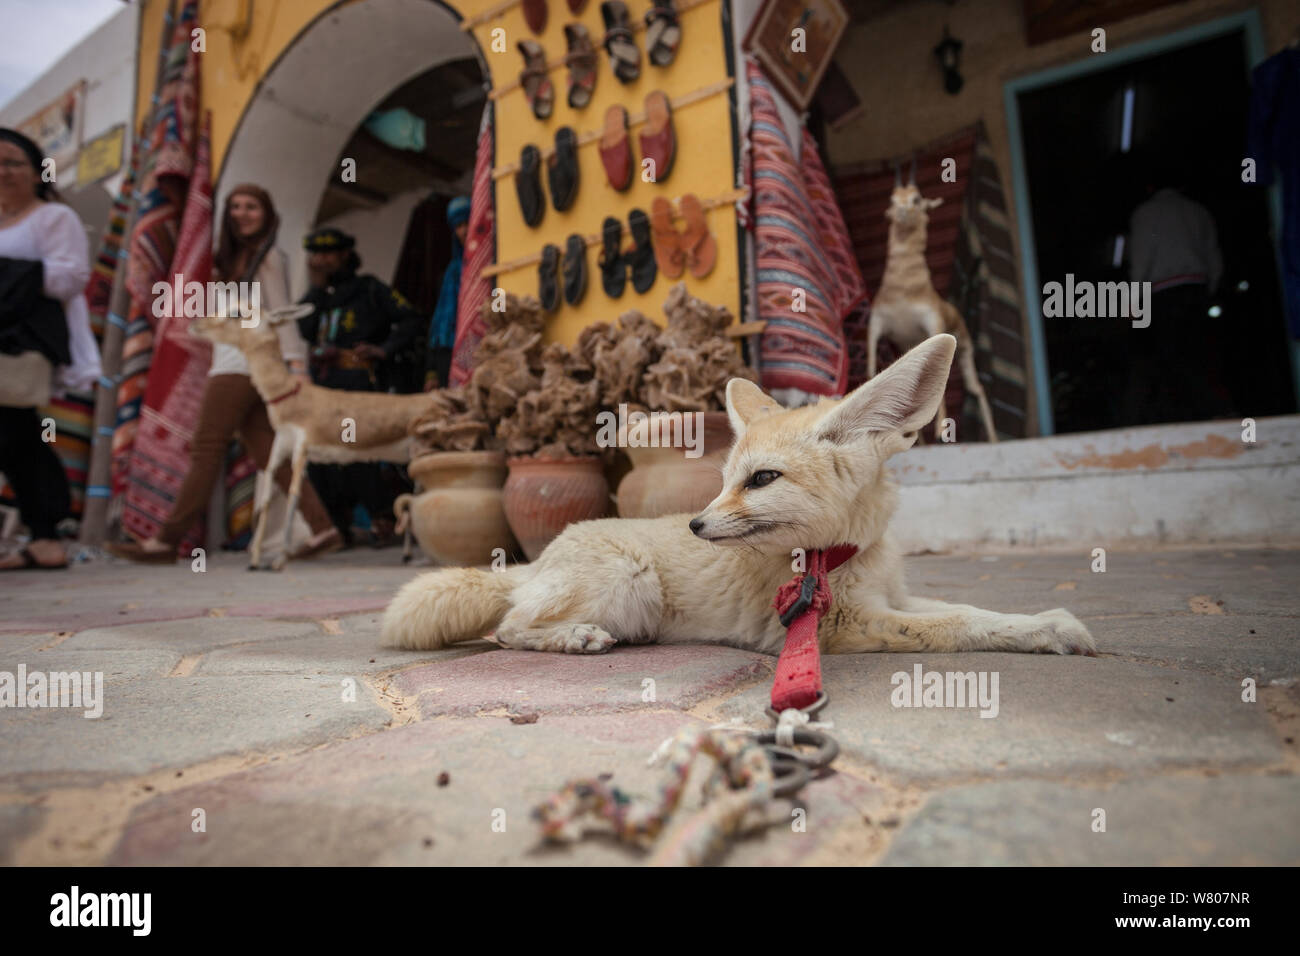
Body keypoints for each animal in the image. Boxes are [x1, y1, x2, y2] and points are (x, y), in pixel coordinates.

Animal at [191, 308, 431, 567]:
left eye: (238, 312)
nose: (197, 324)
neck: (294, 399)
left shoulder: (302, 450)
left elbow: (294, 494)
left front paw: (279, 560)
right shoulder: (278, 450)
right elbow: (265, 500)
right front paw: (254, 561)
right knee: (417, 495)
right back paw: (410, 556)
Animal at [382, 335, 1097, 658]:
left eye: (760, 480)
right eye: (726, 480)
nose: (696, 525)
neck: (839, 557)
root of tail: (542, 557)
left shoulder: (887, 598)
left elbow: (963, 606)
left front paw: (1038, 622)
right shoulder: (835, 624)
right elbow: (953, 625)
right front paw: (1044, 629)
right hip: (627, 581)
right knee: (507, 628)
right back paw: (574, 636)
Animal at [868, 161, 998, 444]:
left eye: (917, 199)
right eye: (892, 199)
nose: (901, 212)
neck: (903, 292)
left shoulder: (932, 324)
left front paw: (941, 431)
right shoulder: (876, 326)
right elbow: (872, 372)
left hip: (964, 350)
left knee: (977, 387)